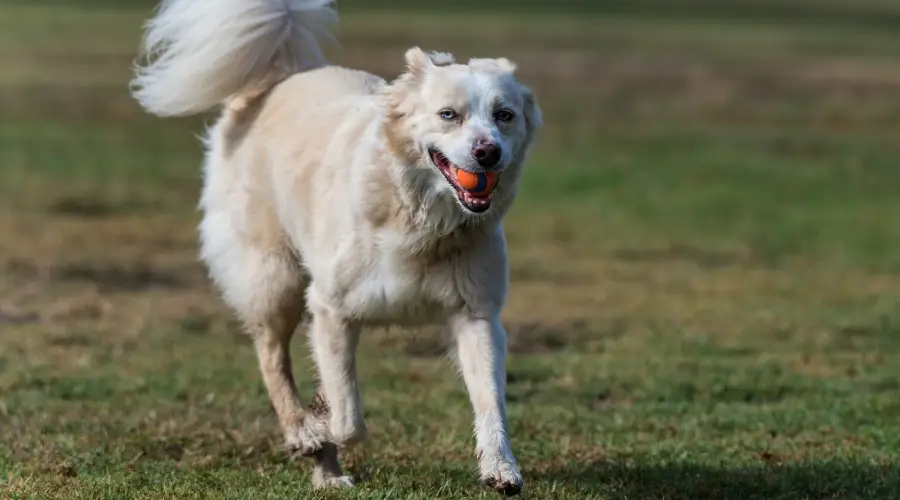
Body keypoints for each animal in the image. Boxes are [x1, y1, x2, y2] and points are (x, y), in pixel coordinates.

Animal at [127, 0, 540, 492]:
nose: (488, 153)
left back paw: (327, 475)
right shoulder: (331, 309)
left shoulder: (476, 316)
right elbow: (348, 420)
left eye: (504, 115)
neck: (417, 218)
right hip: (275, 279)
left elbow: (490, 400)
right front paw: (318, 424)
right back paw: (302, 432)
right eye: (448, 115)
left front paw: (501, 468)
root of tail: (277, 79)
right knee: (271, 358)